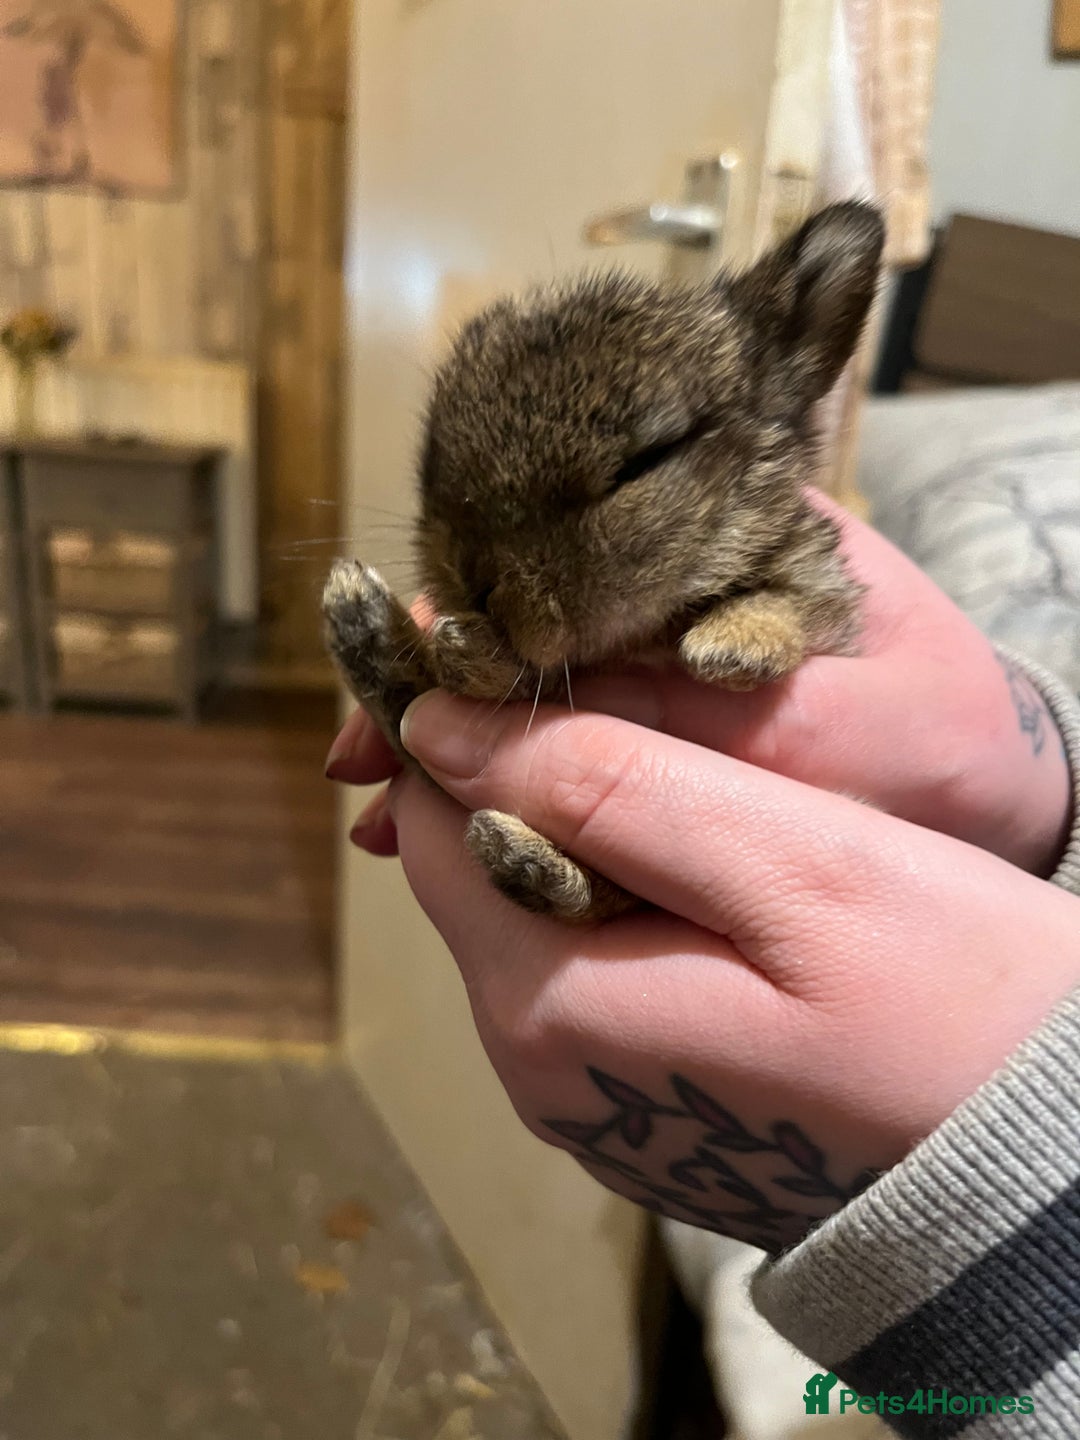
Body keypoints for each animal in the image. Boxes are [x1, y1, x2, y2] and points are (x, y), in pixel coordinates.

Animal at [323, 200, 885, 925]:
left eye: (644, 462)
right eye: (431, 460)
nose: (472, 580)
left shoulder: (821, 593)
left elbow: (787, 602)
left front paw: (729, 649)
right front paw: (462, 650)